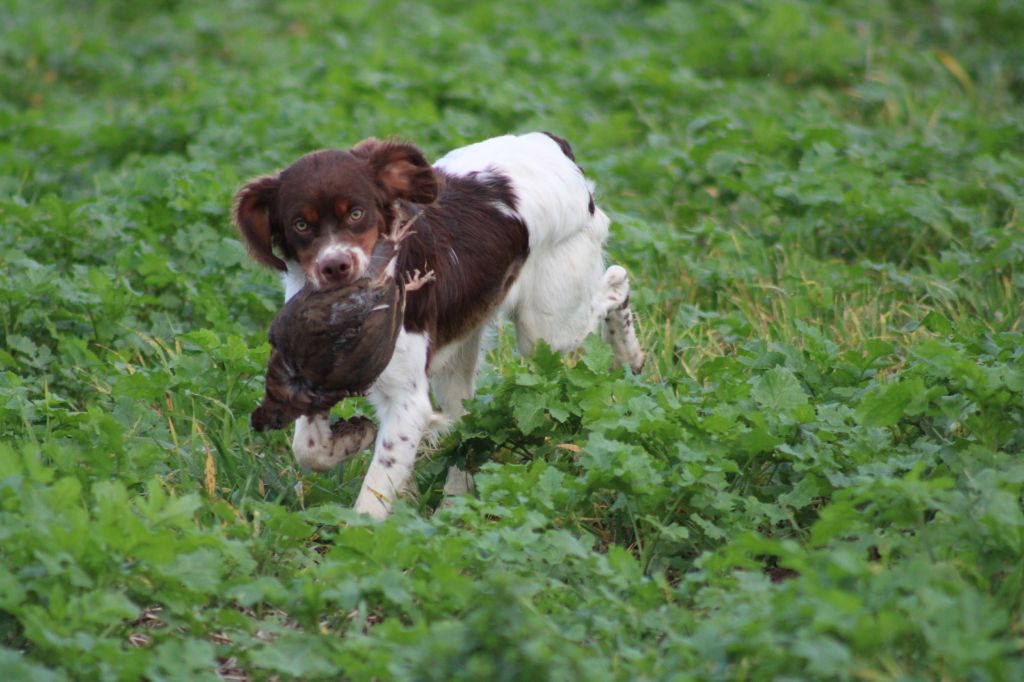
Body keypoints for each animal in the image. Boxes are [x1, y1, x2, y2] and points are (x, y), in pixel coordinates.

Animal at [235, 131, 643, 516]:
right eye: (300, 224)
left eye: (356, 213)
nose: (335, 266)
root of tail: (550, 143)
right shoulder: (317, 372)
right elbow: (308, 448)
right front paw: (353, 438)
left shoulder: (407, 400)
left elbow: (374, 495)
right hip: (464, 353)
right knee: (466, 424)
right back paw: (454, 505)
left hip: (546, 328)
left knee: (616, 282)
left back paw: (630, 356)